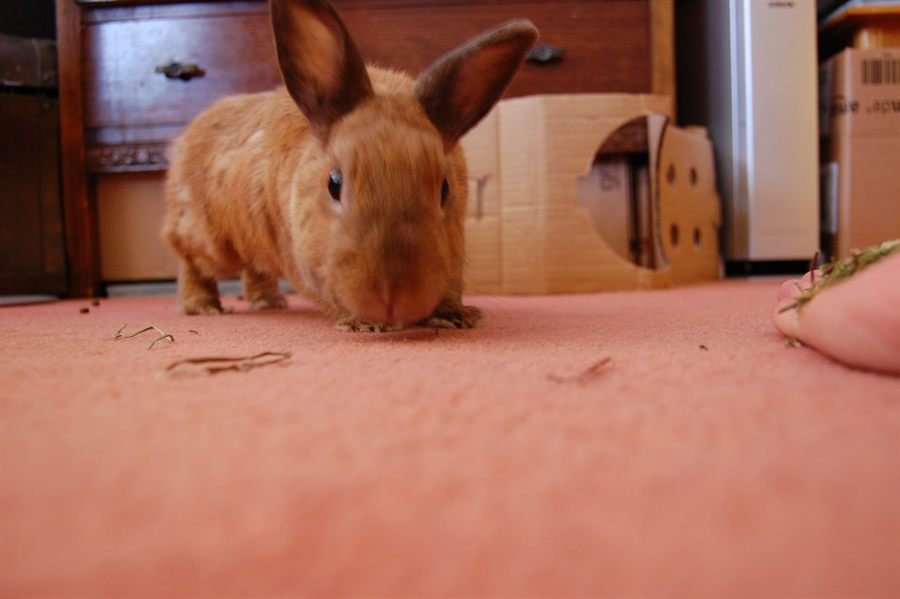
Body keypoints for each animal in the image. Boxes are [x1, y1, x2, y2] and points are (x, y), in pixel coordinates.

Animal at [162, 0, 537, 331]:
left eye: (445, 190)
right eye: (334, 184)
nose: (394, 296)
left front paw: (457, 316)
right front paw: (367, 323)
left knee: (255, 269)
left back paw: (269, 303)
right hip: (209, 239)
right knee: (190, 262)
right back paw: (204, 308)